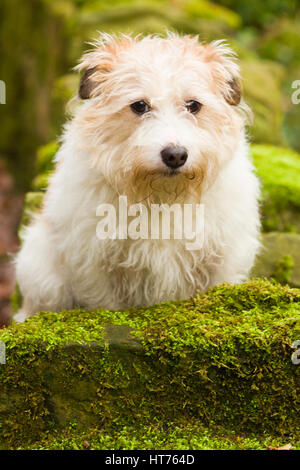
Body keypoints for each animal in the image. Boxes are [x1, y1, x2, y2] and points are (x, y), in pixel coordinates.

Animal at [14, 33, 260, 320]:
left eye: (193, 106)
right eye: (140, 105)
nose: (175, 155)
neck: (162, 197)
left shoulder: (223, 260)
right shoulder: (93, 265)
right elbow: (105, 304)